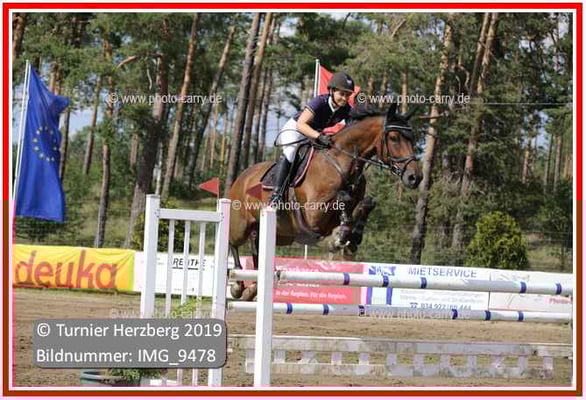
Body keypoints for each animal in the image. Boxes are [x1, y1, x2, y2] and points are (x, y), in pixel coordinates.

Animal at [228, 103, 422, 300]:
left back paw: (252, 289)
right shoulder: (314, 215)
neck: (341, 161)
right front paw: (338, 238)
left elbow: (366, 203)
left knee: (257, 251)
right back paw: (237, 285)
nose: (415, 177)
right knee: (233, 243)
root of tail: (242, 177)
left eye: (412, 138)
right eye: (394, 138)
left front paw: (352, 237)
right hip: (241, 226)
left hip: (278, 234)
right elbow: (343, 199)